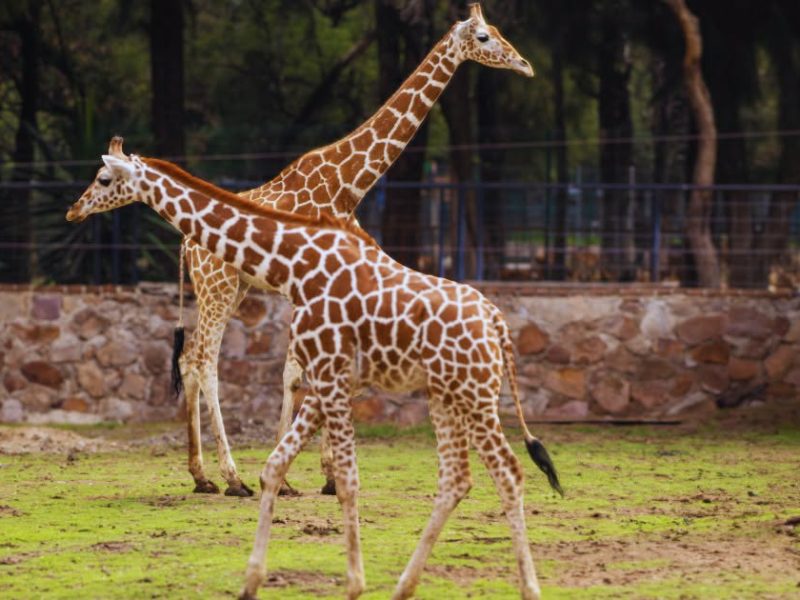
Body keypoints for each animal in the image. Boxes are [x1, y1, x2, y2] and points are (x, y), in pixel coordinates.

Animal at [66, 144, 562, 600]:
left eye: (104, 179)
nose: (75, 209)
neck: (291, 265)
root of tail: (498, 323)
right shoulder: (326, 379)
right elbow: (274, 467)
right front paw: (251, 580)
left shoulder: (330, 372)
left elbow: (347, 480)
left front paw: (354, 583)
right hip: (445, 395)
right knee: (456, 479)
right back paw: (405, 585)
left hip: (473, 394)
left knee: (508, 472)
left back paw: (528, 589)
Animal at [171, 2, 534, 498]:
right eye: (483, 37)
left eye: (496, 30)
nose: (524, 64)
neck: (348, 185)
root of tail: (185, 243)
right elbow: (300, 372)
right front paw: (306, 473)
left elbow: (300, 371)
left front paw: (312, 475)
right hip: (218, 286)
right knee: (205, 361)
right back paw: (232, 477)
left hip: (230, 288)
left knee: (189, 359)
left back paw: (201, 475)